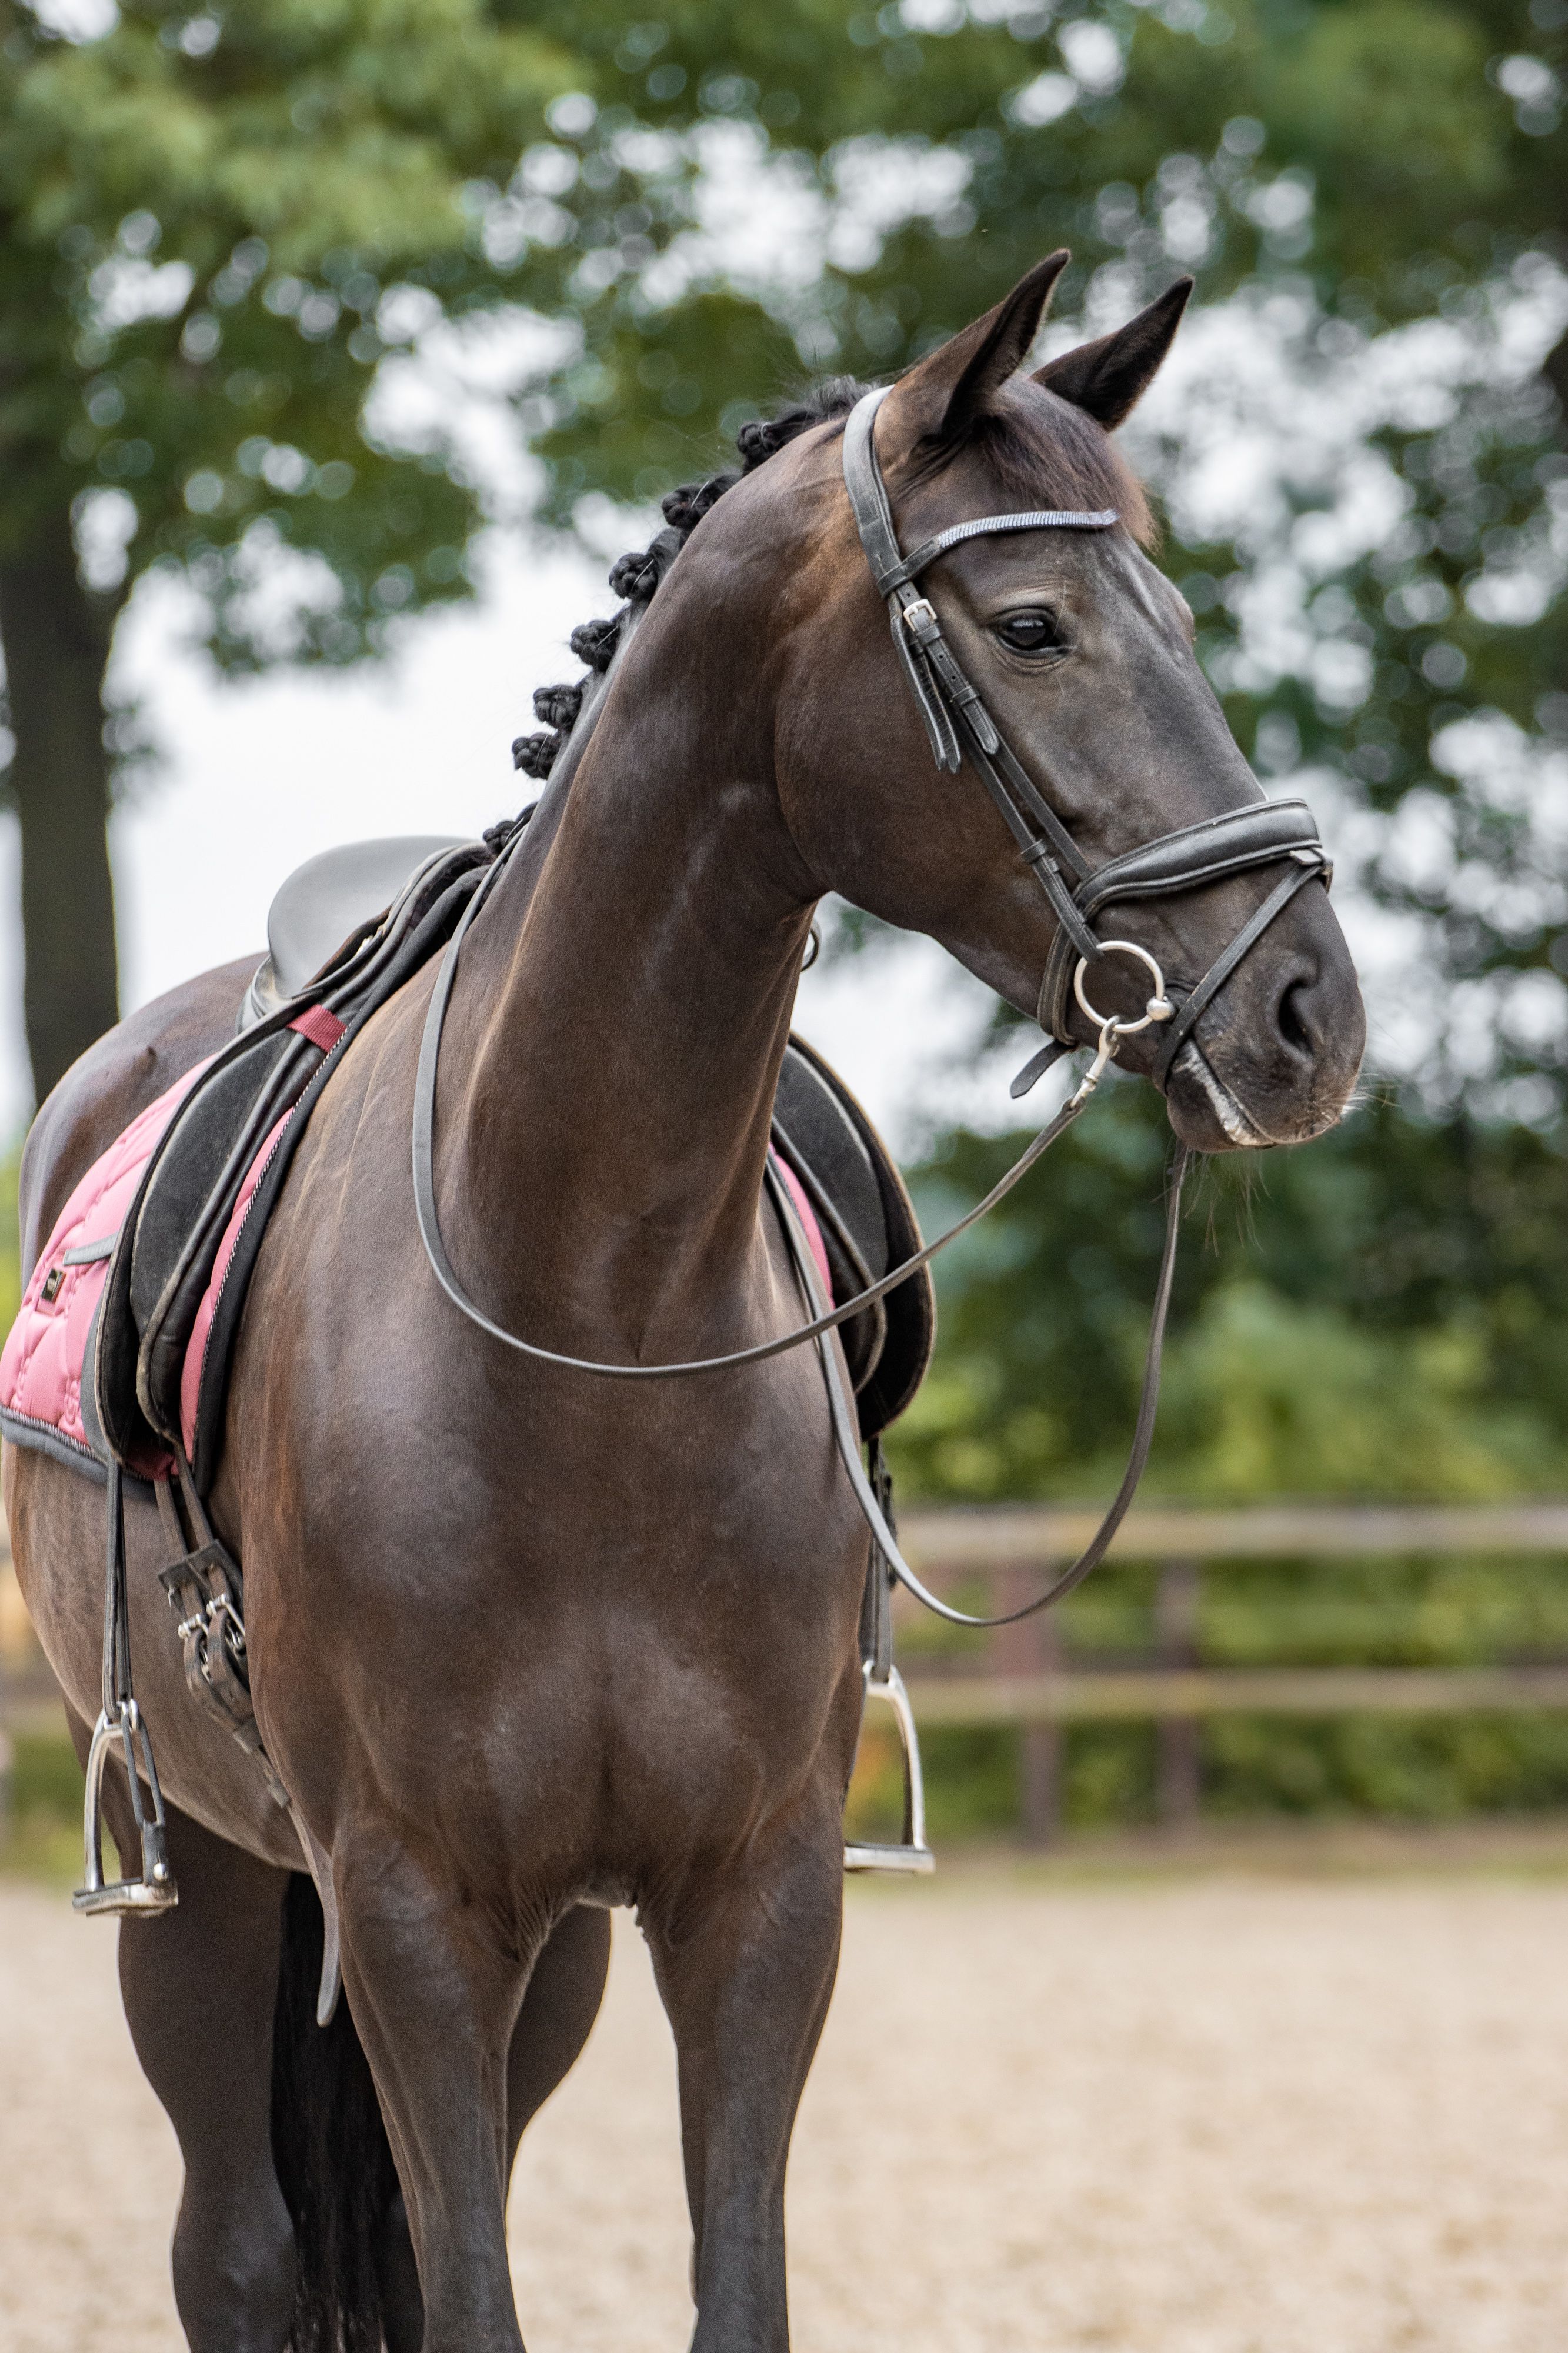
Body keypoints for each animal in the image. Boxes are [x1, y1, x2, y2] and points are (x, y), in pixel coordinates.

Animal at [6, 251, 1364, 2353]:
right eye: (1033, 624)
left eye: (1184, 624)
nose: (1307, 1011)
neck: (594, 1309)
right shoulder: (409, 1906)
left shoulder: (752, 1896)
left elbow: (728, 2287)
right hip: (212, 1878)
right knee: (232, 2250)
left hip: (551, 1944)